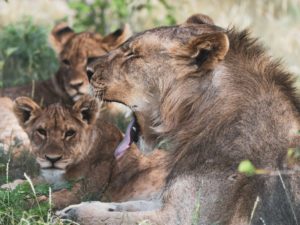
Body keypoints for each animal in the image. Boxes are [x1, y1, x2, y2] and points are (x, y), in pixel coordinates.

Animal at [11, 95, 166, 209]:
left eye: (70, 133)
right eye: (42, 131)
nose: (52, 159)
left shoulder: (84, 192)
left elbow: (46, 199)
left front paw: (18, 202)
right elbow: (27, 181)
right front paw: (11, 187)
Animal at [56, 14, 300, 225]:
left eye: (133, 55)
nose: (88, 71)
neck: (195, 120)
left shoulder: (186, 217)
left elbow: (117, 218)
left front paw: (73, 213)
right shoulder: (170, 202)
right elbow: (129, 204)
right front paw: (81, 205)